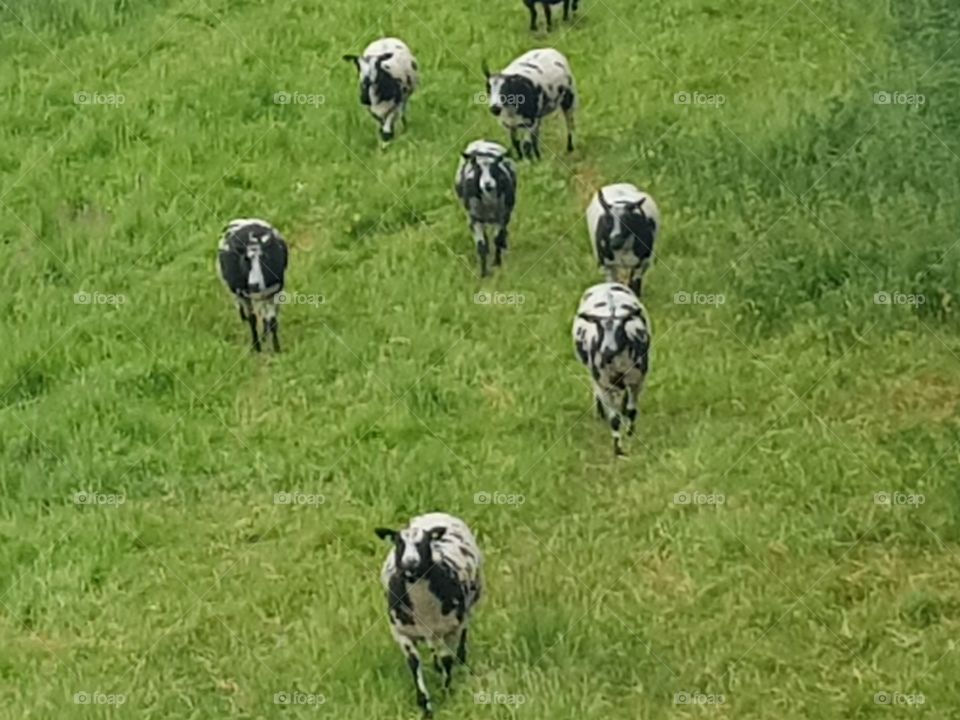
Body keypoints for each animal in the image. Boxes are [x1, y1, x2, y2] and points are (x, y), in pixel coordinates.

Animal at [217, 218, 288, 352]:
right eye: (245, 259)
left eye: (264, 257)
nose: (254, 285)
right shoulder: (243, 295)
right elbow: (252, 320)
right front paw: (256, 347)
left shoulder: (273, 292)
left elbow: (272, 321)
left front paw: (277, 349)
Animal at [375, 512, 483, 718]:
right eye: (398, 543)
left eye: (423, 543)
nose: (410, 563)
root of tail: (434, 514)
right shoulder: (402, 633)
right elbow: (414, 664)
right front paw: (425, 706)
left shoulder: (450, 628)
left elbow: (447, 659)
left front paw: (447, 691)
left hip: (469, 606)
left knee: (463, 634)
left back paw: (460, 660)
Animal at [454, 140, 518, 276]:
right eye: (477, 168)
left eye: (494, 167)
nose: (488, 184)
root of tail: (482, 141)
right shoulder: (474, 219)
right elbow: (481, 246)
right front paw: (483, 273)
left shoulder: (502, 216)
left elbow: (497, 239)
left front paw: (497, 263)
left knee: (502, 234)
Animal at [572, 282, 651, 456]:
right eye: (599, 327)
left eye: (620, 328)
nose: (607, 351)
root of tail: (606, 284)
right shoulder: (605, 384)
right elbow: (614, 419)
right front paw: (618, 449)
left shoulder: (636, 380)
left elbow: (631, 411)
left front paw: (630, 434)